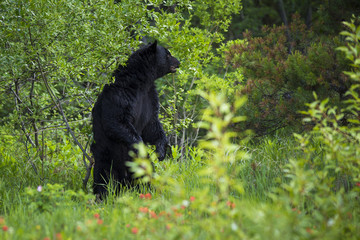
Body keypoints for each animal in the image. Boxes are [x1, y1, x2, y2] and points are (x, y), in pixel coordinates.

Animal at [90, 40, 179, 197]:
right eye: (168, 54)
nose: (179, 62)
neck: (141, 83)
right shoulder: (120, 96)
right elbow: (117, 121)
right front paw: (141, 147)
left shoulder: (149, 98)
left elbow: (152, 125)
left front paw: (160, 151)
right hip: (106, 155)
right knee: (104, 177)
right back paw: (102, 195)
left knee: (146, 174)